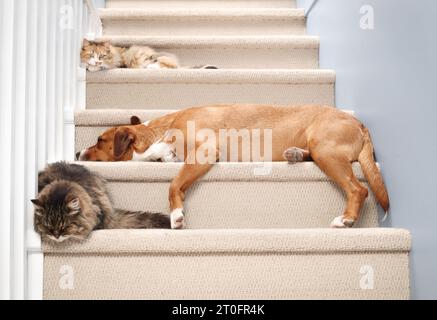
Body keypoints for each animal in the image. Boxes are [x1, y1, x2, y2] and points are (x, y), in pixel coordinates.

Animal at [77, 104, 388, 229]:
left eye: (100, 139)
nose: (77, 151)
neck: (159, 131)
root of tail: (361, 124)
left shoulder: (204, 152)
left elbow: (174, 183)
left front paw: (176, 215)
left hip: (326, 151)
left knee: (359, 189)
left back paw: (346, 220)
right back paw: (295, 154)